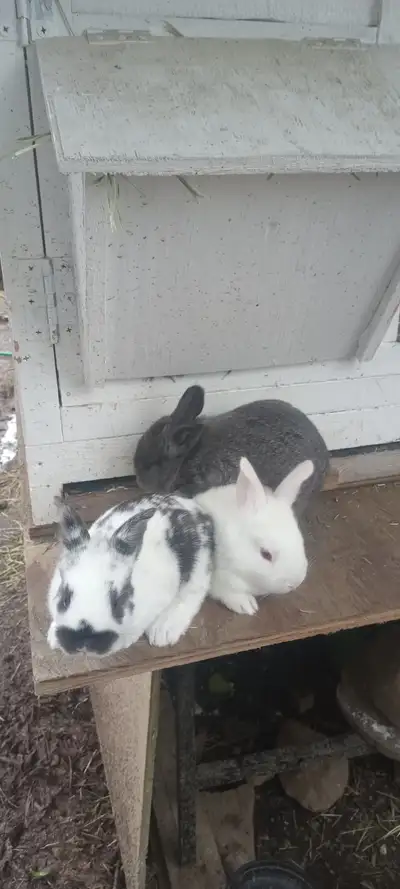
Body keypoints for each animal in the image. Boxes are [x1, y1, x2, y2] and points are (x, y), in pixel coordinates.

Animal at [47, 493, 215, 655]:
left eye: (116, 602)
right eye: (64, 599)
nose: (84, 642)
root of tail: (192, 505)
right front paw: (52, 640)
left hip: (199, 569)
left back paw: (162, 633)